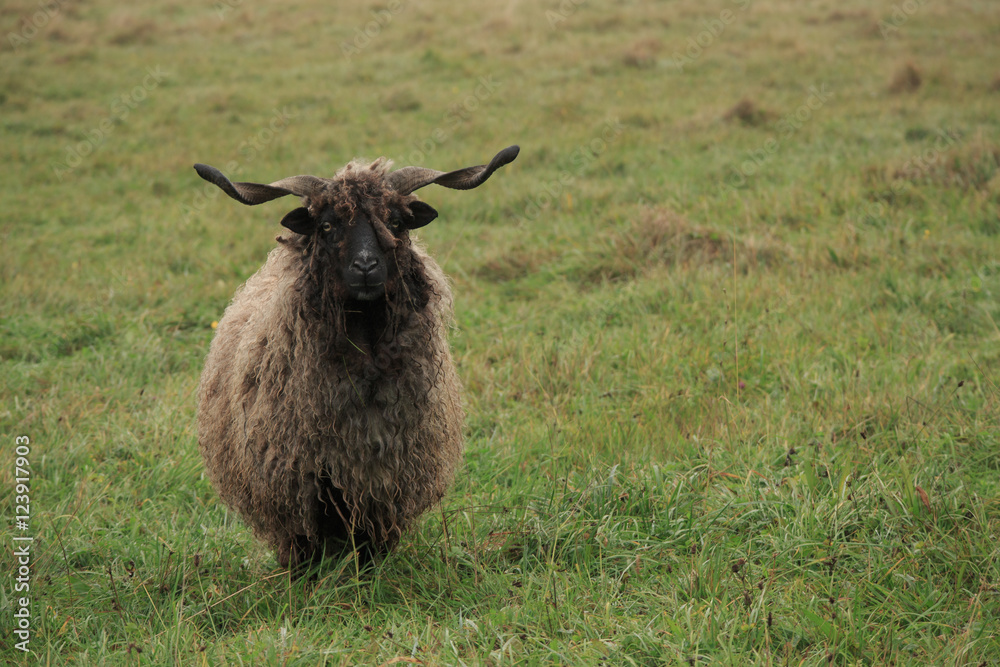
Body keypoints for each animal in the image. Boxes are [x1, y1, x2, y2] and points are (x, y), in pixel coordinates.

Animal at [193, 145, 519, 569]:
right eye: (327, 226)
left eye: (395, 222)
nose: (366, 267)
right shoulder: (298, 479)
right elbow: (304, 541)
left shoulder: (383, 477)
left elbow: (372, 540)